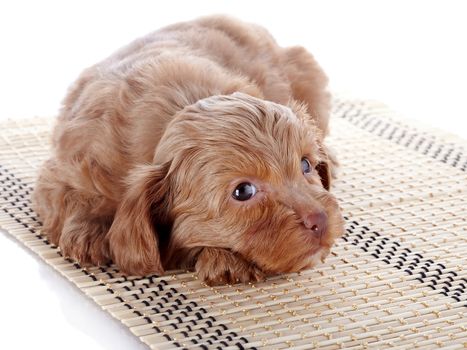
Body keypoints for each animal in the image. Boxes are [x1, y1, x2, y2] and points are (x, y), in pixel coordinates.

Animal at [33, 15, 346, 286]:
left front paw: (222, 258)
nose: (320, 220)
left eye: (305, 165)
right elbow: (72, 195)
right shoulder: (68, 166)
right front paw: (86, 233)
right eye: (243, 191)